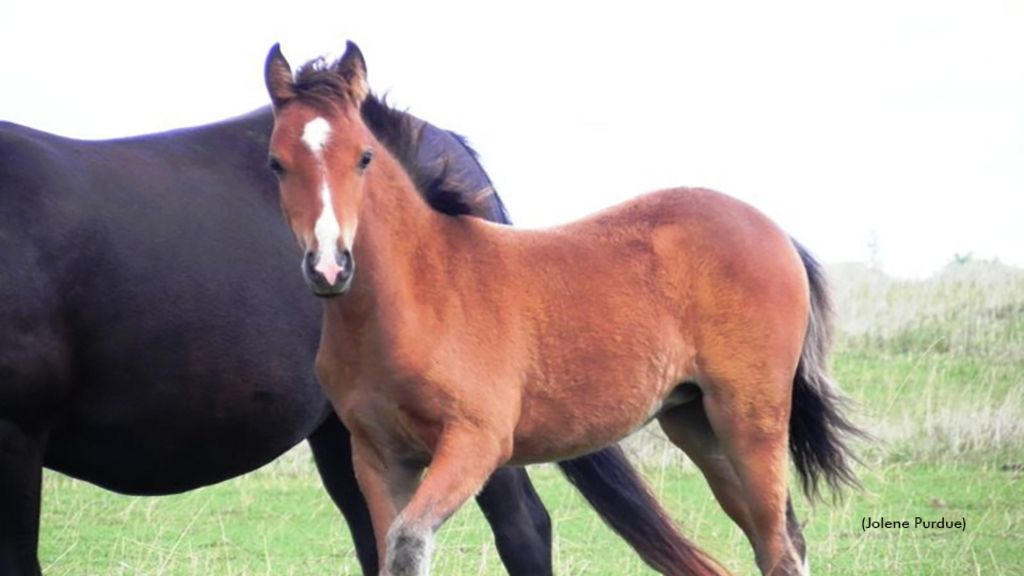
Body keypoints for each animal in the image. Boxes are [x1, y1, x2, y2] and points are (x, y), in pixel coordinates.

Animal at [266, 41, 864, 573]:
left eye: (364, 157)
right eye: (276, 164)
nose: (329, 266)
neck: (416, 295)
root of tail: (773, 230)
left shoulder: (475, 443)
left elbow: (407, 543)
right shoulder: (378, 456)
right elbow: (390, 546)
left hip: (750, 418)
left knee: (781, 547)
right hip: (697, 422)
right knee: (777, 541)